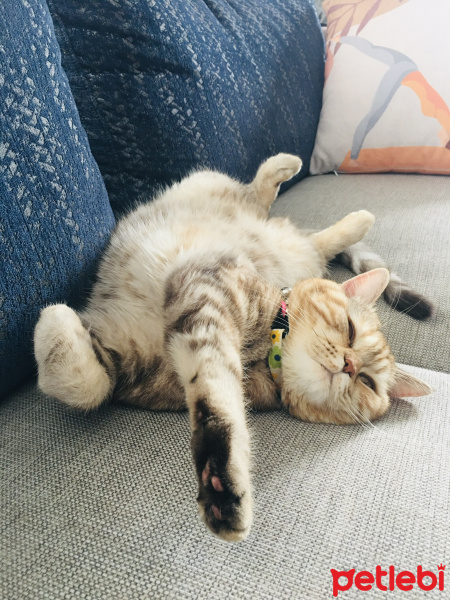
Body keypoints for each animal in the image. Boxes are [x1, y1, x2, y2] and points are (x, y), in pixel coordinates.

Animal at [33, 152, 430, 540]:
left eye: (368, 382)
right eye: (349, 330)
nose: (349, 365)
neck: (263, 354)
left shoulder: (138, 364)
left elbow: (94, 383)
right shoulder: (203, 286)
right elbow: (87, 383)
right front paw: (54, 317)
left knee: (308, 236)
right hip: (209, 186)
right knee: (259, 199)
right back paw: (300, 176)